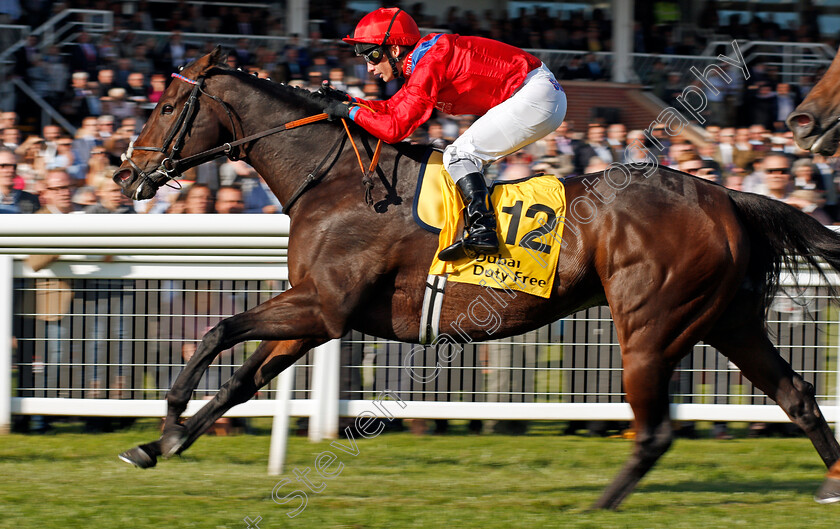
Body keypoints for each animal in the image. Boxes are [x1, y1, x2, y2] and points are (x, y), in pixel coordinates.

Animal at [116, 48, 840, 508]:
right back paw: (831, 480)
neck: (337, 180)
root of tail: (725, 196)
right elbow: (241, 378)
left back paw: (598, 505)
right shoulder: (316, 316)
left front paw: (169, 415)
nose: (126, 173)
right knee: (798, 393)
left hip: (649, 325)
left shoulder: (323, 306)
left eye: (170, 105)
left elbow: (219, 329)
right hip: (727, 320)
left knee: (658, 427)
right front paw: (158, 443)